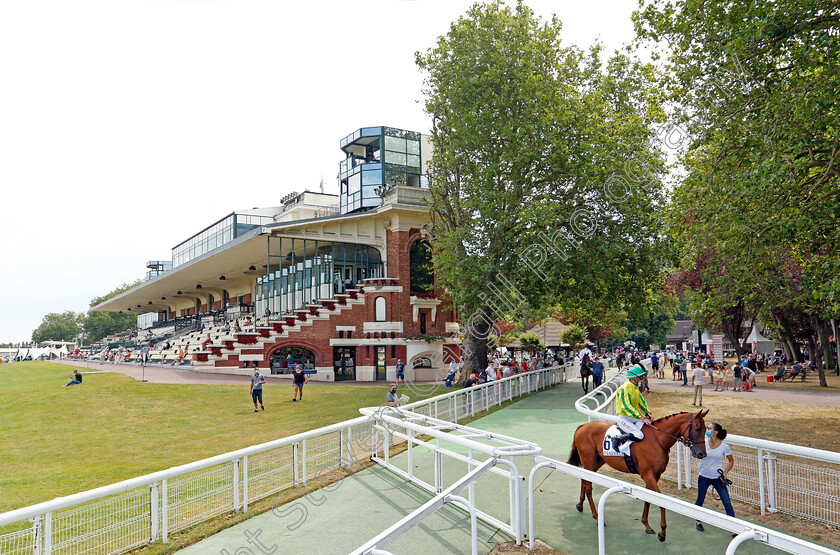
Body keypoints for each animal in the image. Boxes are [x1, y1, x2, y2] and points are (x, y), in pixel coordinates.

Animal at [564, 410, 708, 540]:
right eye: (697, 429)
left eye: (705, 429)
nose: (702, 454)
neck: (656, 441)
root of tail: (583, 426)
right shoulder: (647, 475)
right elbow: (660, 500)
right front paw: (662, 532)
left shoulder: (655, 475)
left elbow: (649, 498)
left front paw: (647, 525)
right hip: (589, 461)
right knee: (588, 487)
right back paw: (597, 517)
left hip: (595, 463)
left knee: (584, 481)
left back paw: (580, 505)